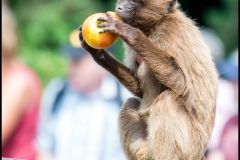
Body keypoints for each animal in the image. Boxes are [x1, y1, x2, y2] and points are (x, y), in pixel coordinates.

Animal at [79, 0, 219, 159]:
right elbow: (140, 89)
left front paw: (130, 34)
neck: (154, 26)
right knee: (131, 103)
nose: (119, 8)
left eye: (133, 2)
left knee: (168, 99)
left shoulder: (170, 31)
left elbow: (182, 83)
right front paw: (99, 54)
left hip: (192, 146)